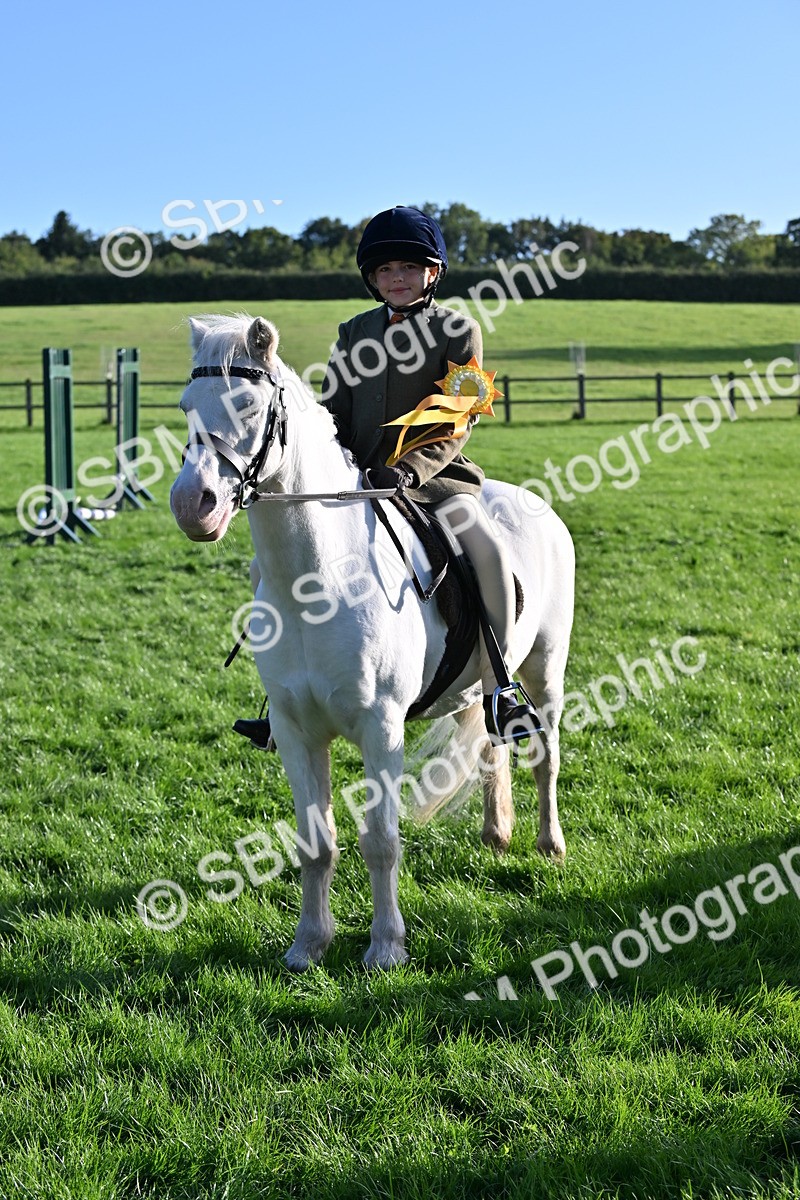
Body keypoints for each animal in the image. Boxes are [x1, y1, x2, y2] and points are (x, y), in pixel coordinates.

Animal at [170, 313, 575, 971]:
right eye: (185, 406)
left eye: (249, 405)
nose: (191, 505)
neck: (320, 578)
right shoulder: (297, 732)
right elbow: (315, 842)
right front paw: (308, 944)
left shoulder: (381, 727)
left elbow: (381, 839)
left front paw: (386, 947)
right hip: (486, 683)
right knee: (493, 747)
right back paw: (496, 835)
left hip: (545, 669)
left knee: (546, 753)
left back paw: (549, 843)